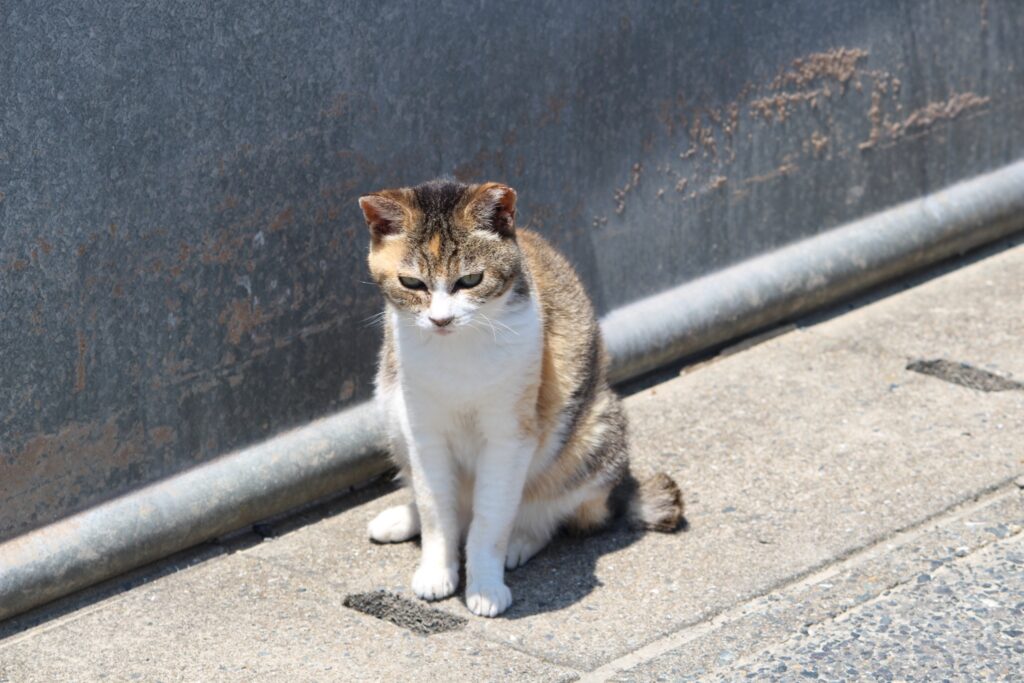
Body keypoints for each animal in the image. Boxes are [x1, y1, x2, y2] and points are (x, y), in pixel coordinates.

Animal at [356, 179, 684, 618]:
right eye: (412, 284)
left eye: (470, 280)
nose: (441, 319)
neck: (457, 350)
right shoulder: (423, 431)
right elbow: (435, 509)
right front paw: (436, 569)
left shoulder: (509, 438)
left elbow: (490, 519)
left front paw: (485, 586)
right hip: (390, 406)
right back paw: (403, 519)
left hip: (591, 436)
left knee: (554, 513)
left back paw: (520, 540)